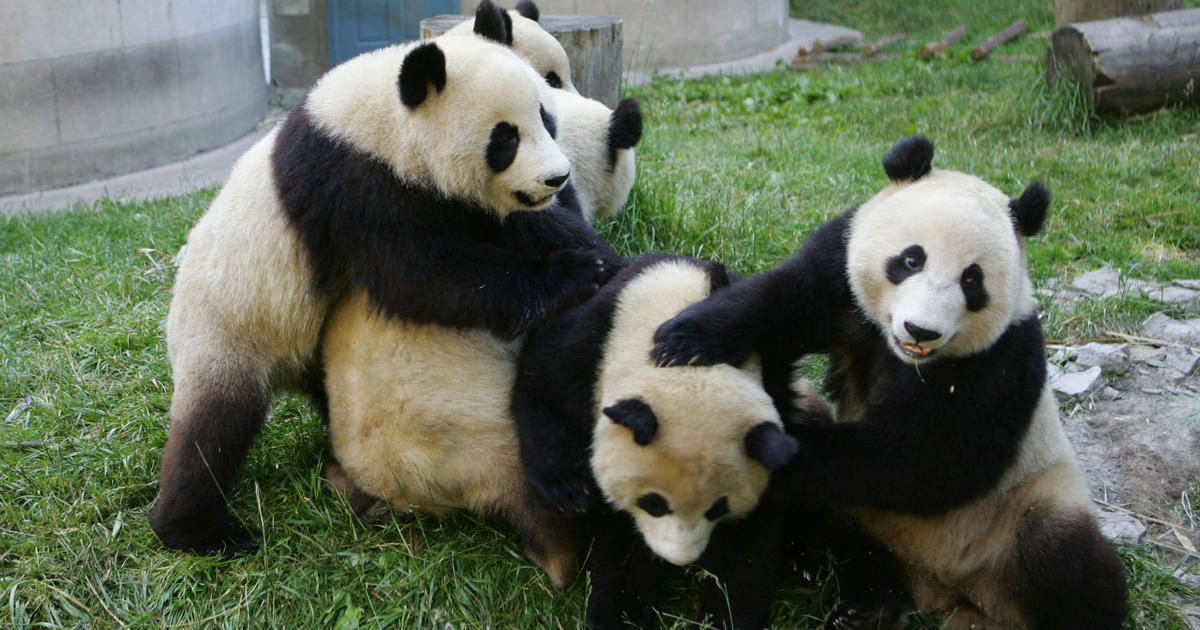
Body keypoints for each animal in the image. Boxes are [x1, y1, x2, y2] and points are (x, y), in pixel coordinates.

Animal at [151, 2, 614, 556]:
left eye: (545, 118)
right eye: (505, 138)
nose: (556, 178)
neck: (381, 118)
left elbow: (509, 227)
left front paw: (593, 253)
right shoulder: (356, 184)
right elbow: (422, 275)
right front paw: (575, 272)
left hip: (304, 350)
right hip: (227, 330)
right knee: (214, 428)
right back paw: (198, 529)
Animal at [652, 135, 1128, 628]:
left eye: (972, 280)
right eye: (911, 259)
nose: (921, 330)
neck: (905, 356)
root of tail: (945, 590)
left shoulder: (1003, 361)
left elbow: (927, 460)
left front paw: (776, 443)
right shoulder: (840, 270)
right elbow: (781, 301)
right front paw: (684, 341)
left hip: (1025, 502)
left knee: (1062, 558)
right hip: (860, 518)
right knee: (843, 540)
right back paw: (869, 603)